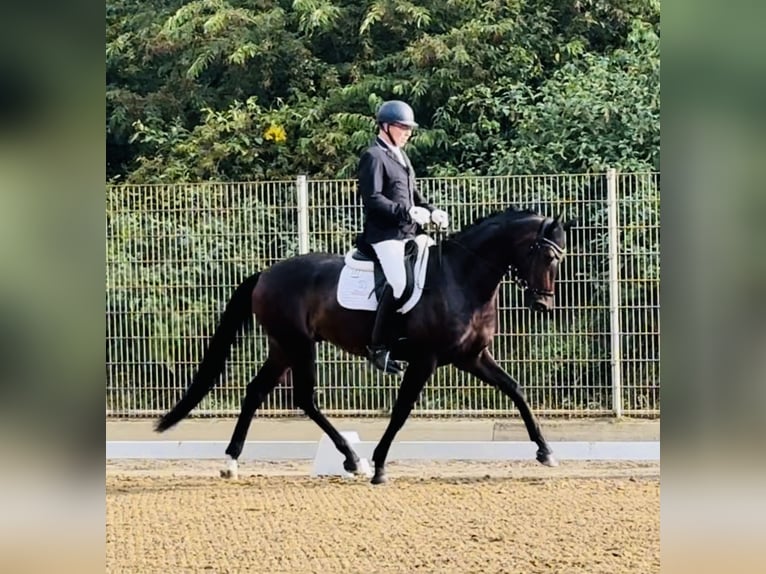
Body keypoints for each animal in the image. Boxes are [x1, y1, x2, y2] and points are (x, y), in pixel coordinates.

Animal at [156, 207, 576, 486]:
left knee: (258, 391)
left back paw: (232, 462)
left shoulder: (470, 356)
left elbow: (516, 390)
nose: (543, 305)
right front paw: (379, 466)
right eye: (545, 254)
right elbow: (402, 411)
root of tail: (266, 273)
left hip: (282, 346)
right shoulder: (426, 360)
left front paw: (546, 452)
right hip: (297, 344)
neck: (461, 278)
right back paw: (353, 460)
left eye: (560, 256)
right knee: (304, 397)